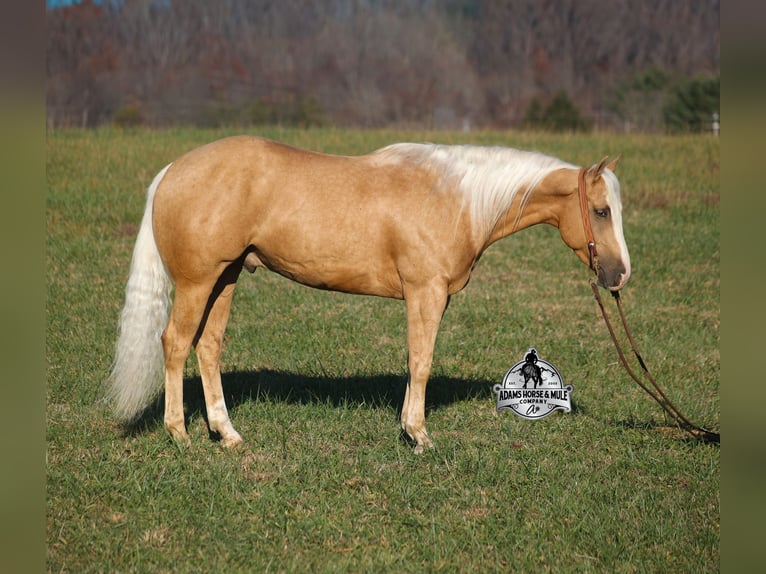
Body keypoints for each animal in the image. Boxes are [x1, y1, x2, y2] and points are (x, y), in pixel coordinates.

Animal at [106, 136, 630, 453]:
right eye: (601, 211)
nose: (619, 275)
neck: (455, 199)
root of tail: (172, 170)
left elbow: (416, 361)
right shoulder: (425, 293)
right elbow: (421, 360)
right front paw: (419, 435)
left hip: (227, 277)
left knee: (208, 347)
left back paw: (228, 433)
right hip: (198, 282)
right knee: (176, 343)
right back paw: (180, 434)